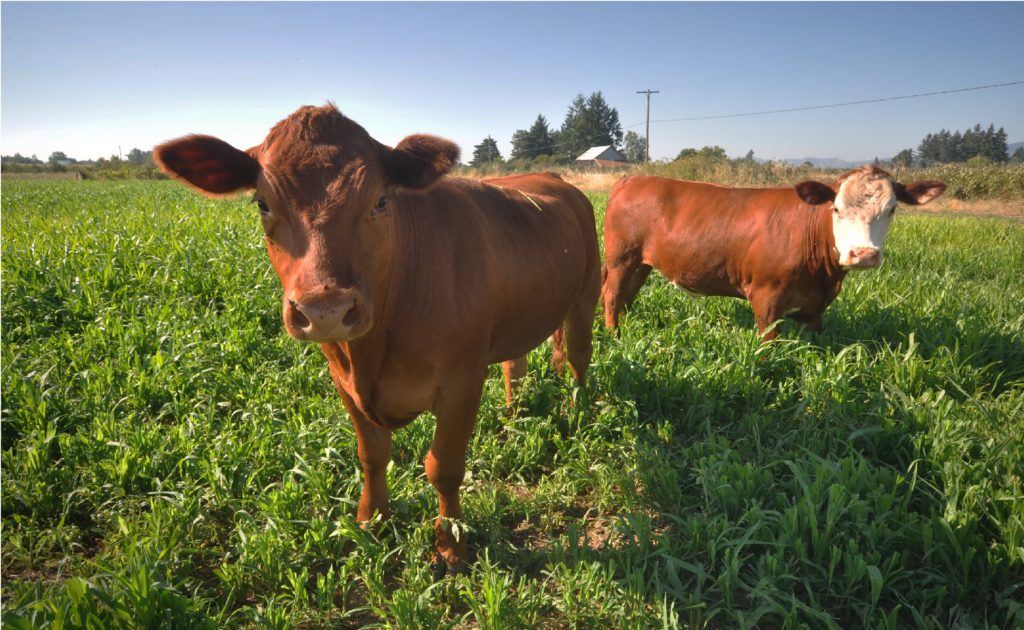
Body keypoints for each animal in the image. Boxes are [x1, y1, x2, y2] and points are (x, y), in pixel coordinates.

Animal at [151, 105, 598, 577]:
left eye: (380, 202)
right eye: (262, 203)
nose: (325, 310)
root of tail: (553, 178)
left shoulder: (462, 379)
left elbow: (444, 467)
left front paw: (451, 544)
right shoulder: (344, 379)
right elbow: (372, 454)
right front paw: (372, 522)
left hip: (587, 292)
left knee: (578, 355)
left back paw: (579, 410)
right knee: (517, 362)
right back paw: (514, 416)